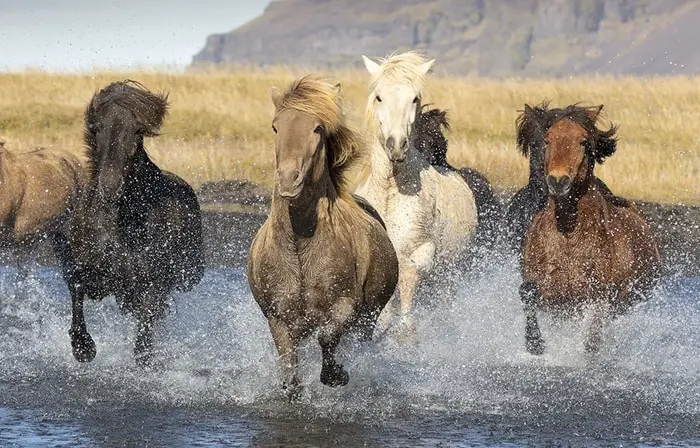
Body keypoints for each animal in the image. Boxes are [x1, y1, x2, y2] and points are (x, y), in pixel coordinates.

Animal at [246, 75, 400, 400]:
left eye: (317, 128)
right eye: (275, 126)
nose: (288, 180)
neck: (299, 245)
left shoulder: (345, 308)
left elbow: (328, 339)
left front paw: (337, 376)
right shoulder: (280, 319)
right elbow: (290, 372)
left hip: (368, 318)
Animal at [520, 103, 660, 356]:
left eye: (583, 141)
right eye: (547, 139)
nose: (558, 181)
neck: (567, 233)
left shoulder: (598, 293)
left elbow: (596, 319)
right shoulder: (549, 293)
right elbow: (528, 293)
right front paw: (534, 343)